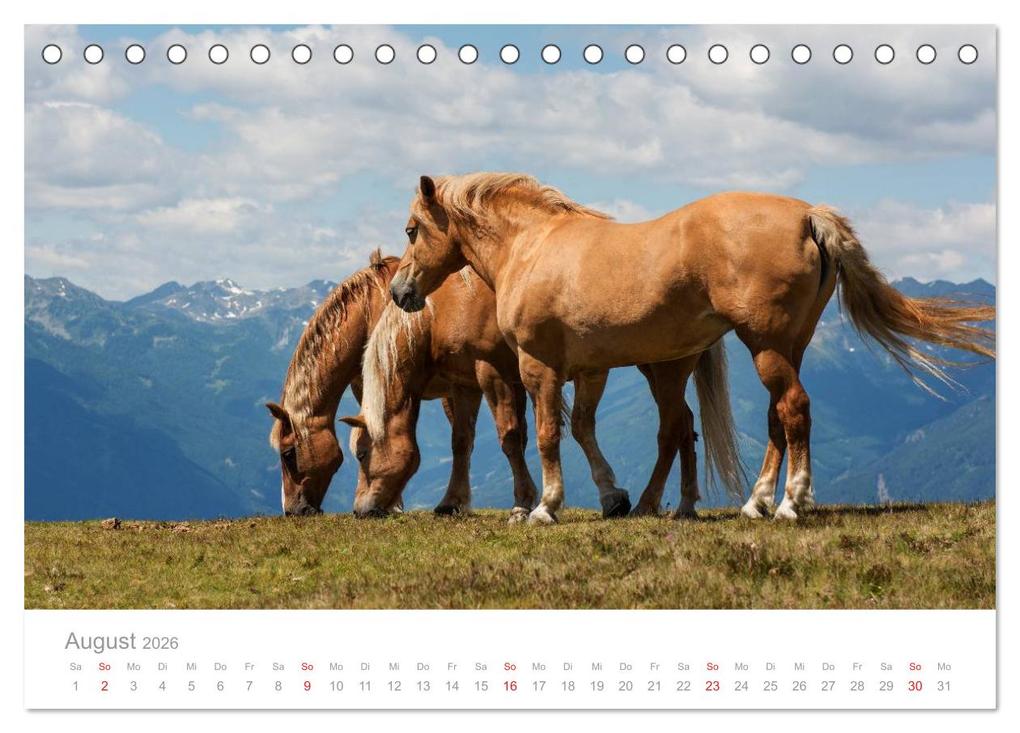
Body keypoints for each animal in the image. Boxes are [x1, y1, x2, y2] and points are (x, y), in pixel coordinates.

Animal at [343, 266, 743, 521]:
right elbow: (463, 442)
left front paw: (523, 503)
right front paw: (451, 503)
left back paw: (651, 503)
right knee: (685, 425)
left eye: (362, 454)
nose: (361, 510)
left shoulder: (494, 374)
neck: (448, 306)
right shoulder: (466, 384)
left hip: (664, 369)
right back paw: (685, 505)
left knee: (672, 430)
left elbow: (511, 438)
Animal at [387, 172, 995, 524]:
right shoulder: (589, 370)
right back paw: (755, 501)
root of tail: (807, 215)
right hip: (786, 347)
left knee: (792, 409)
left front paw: (544, 507)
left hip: (766, 346)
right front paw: (613, 498)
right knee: (773, 418)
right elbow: (582, 430)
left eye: (412, 229)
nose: (400, 291)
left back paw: (792, 502)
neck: (532, 247)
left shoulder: (540, 368)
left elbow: (545, 437)